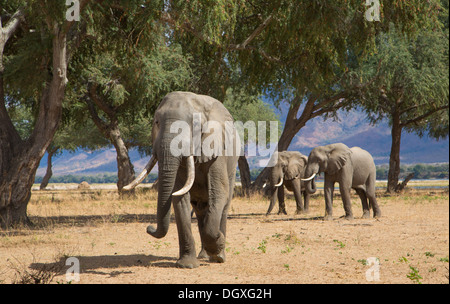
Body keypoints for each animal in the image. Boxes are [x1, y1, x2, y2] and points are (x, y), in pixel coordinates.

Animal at [123, 91, 239, 268]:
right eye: (156, 122)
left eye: (195, 125)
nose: (149, 228)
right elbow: (180, 197)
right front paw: (187, 265)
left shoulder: (217, 150)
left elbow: (219, 193)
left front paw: (218, 247)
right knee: (200, 209)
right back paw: (204, 255)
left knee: (223, 205)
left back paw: (217, 256)